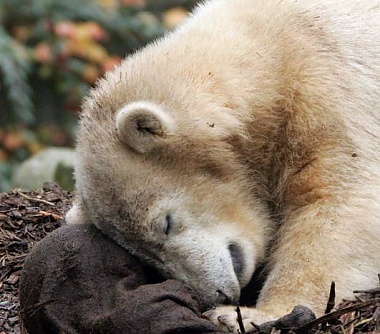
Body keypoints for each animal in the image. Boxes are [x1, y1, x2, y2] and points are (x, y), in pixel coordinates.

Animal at [67, 0, 380, 332]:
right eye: (145, 257)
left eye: (166, 223)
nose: (216, 294)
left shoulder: (329, 85)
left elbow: (338, 203)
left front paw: (255, 314)